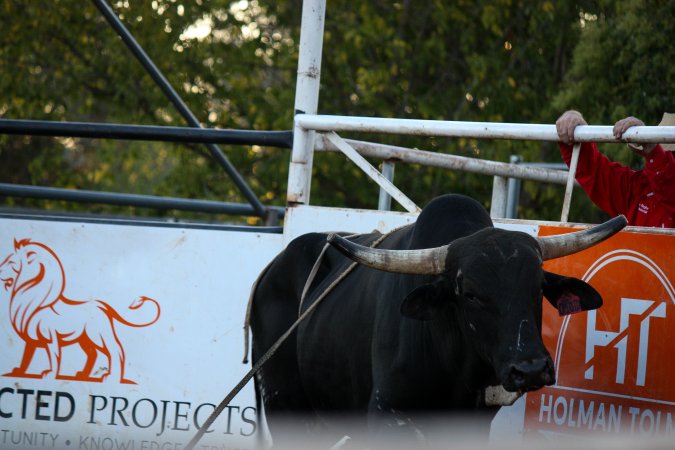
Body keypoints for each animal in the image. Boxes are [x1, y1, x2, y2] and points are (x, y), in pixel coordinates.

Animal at [248, 194, 626, 446]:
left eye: (537, 287)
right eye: (470, 294)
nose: (531, 368)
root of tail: (270, 270)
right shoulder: (387, 415)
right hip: (285, 407)